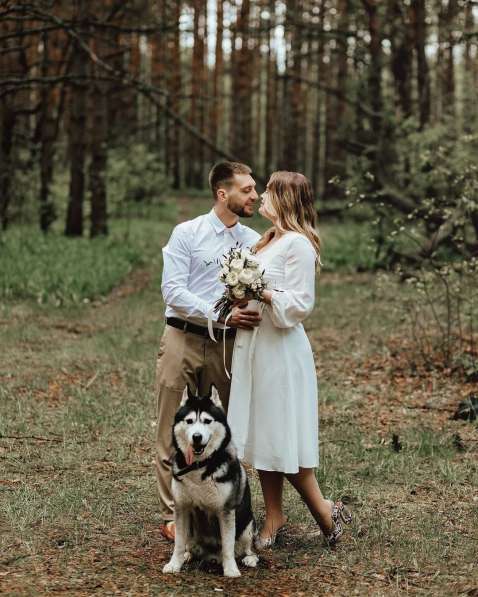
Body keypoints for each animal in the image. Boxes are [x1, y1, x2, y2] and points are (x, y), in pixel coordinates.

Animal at [162, 384, 260, 576]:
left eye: (207, 421)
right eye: (189, 421)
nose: (197, 437)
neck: (200, 465)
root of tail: (210, 555)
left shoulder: (226, 511)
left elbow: (228, 546)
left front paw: (230, 570)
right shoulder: (182, 507)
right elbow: (178, 543)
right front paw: (174, 564)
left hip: (247, 525)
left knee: (246, 548)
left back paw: (249, 558)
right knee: (189, 545)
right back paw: (188, 555)